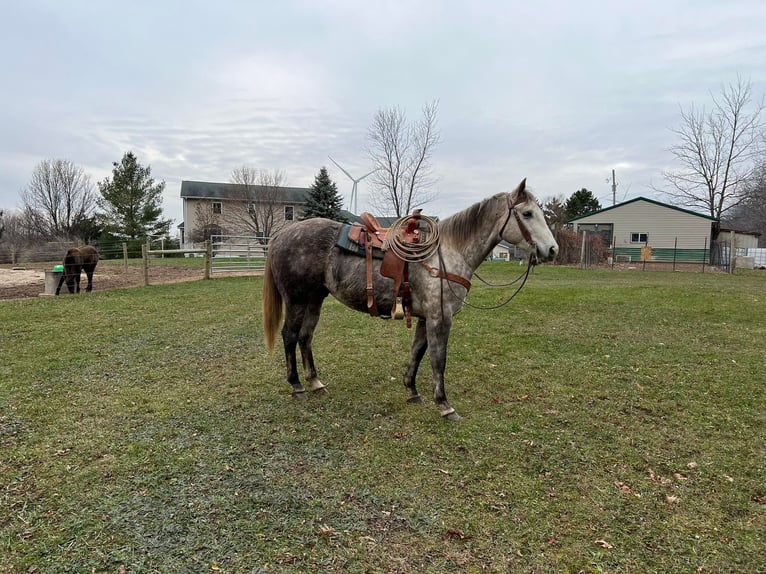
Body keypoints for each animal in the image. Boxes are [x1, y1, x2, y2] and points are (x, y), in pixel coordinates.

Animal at [262, 180, 560, 424]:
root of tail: (280, 236)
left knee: (305, 337)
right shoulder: (441, 318)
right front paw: (445, 405)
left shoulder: (426, 317)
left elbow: (417, 351)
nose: (553, 249)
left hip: (315, 299)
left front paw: (412, 391)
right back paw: (297, 385)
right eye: (527, 214)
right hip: (296, 299)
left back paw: (315, 382)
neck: (447, 253)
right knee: (289, 336)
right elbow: (438, 359)